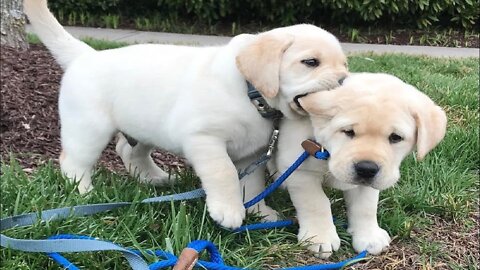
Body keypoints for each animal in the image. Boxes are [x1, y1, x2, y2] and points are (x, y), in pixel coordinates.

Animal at [24, 0, 346, 229]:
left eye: (344, 64)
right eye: (311, 62)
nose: (344, 81)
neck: (250, 94)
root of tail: (86, 55)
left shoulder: (252, 153)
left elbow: (252, 183)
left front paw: (258, 211)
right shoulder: (204, 139)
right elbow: (224, 173)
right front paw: (229, 210)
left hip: (143, 127)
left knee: (129, 152)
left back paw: (156, 179)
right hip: (89, 129)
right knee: (74, 161)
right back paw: (84, 192)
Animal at [276, 73, 448, 258]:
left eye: (396, 137)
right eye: (348, 132)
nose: (366, 169)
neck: (326, 152)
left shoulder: (368, 184)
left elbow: (366, 207)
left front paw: (369, 236)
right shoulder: (301, 172)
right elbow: (316, 203)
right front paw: (319, 236)